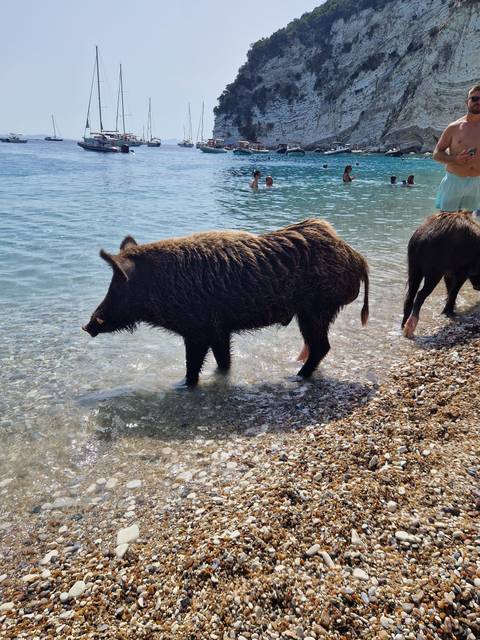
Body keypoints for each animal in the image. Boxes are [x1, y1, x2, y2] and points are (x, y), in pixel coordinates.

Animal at [83, 219, 369, 386]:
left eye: (119, 285)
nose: (87, 326)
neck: (163, 284)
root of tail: (357, 258)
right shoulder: (219, 331)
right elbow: (223, 362)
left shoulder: (197, 331)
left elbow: (192, 366)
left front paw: (181, 386)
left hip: (316, 309)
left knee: (321, 346)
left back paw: (296, 378)